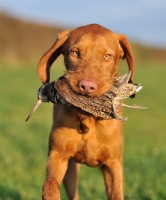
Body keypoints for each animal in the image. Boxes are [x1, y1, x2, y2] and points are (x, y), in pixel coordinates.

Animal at [37, 23, 134, 200]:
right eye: (75, 52)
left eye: (107, 56)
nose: (87, 86)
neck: (88, 117)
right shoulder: (58, 155)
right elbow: (50, 186)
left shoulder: (113, 164)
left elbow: (116, 194)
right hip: (71, 171)